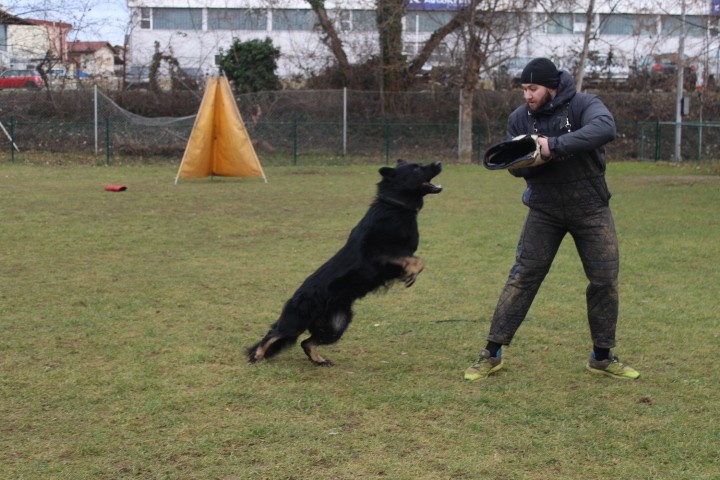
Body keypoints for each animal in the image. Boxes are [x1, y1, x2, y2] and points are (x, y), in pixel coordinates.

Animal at [248, 159, 442, 366]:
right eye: (416, 168)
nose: (439, 162)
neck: (394, 206)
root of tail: (297, 296)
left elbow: (416, 260)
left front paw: (409, 274)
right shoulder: (377, 255)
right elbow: (418, 261)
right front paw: (410, 274)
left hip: (337, 325)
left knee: (306, 342)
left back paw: (319, 360)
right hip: (298, 320)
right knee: (273, 334)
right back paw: (256, 356)